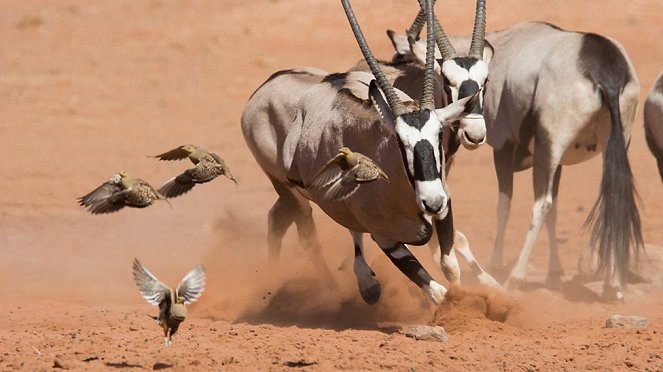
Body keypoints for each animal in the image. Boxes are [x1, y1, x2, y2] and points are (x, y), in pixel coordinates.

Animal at [241, 0, 480, 304]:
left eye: (439, 133)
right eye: (399, 141)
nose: (432, 201)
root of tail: (265, 87)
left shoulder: (444, 214)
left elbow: (450, 268)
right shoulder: (387, 240)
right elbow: (438, 292)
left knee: (279, 219)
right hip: (289, 190)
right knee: (306, 234)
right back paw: (330, 289)